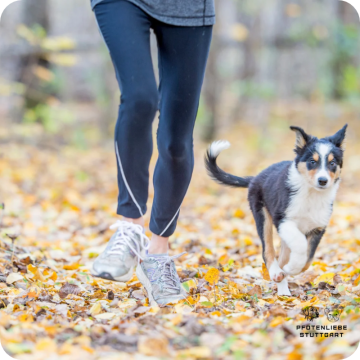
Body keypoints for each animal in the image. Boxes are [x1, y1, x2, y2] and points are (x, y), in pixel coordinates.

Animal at [204, 125, 348, 294]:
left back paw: (283, 291)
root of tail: (255, 178)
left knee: (282, 257)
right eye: (312, 161)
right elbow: (300, 244)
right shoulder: (283, 220)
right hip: (262, 216)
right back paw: (276, 273)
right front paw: (291, 268)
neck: (311, 194)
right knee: (268, 251)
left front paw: (290, 269)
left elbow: (308, 259)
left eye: (332, 163)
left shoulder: (318, 228)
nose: (323, 181)